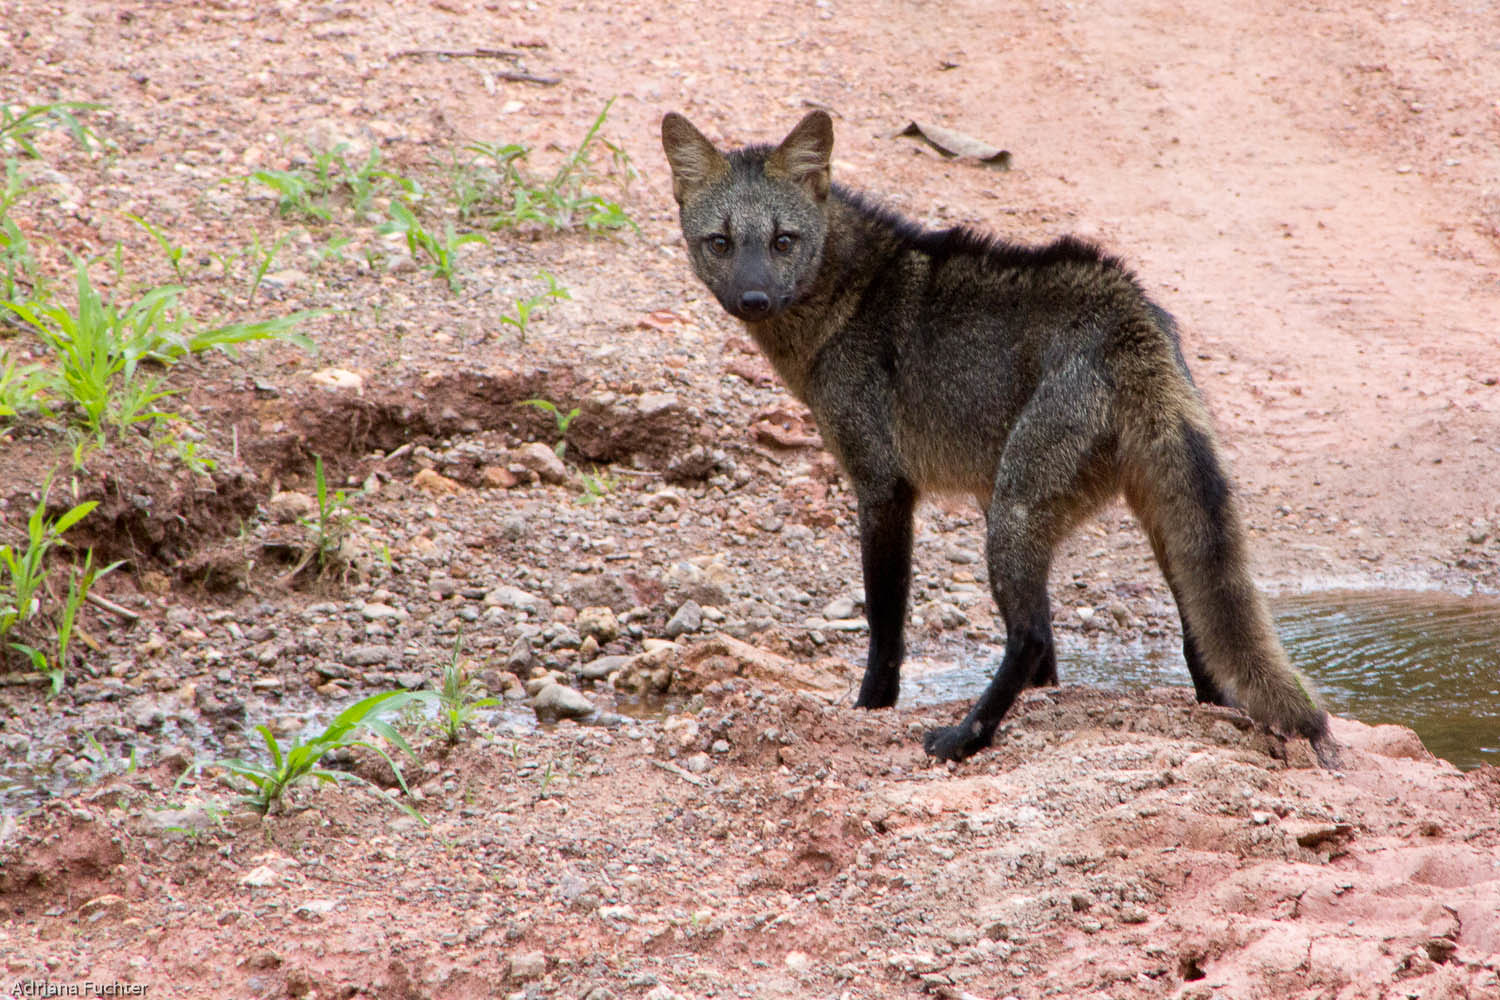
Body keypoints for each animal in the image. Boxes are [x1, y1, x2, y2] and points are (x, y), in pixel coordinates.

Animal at [660, 109, 1340, 769]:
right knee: (1194, 643)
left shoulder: (882, 487)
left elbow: (886, 628)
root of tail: (1128, 314)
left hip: (1016, 516)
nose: (752, 297)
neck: (849, 295)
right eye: (721, 242)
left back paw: (965, 737)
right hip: (1143, 520)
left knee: (1029, 635)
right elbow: (1051, 665)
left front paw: (871, 709)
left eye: (783, 241)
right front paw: (1049, 703)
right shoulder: (964, 493)